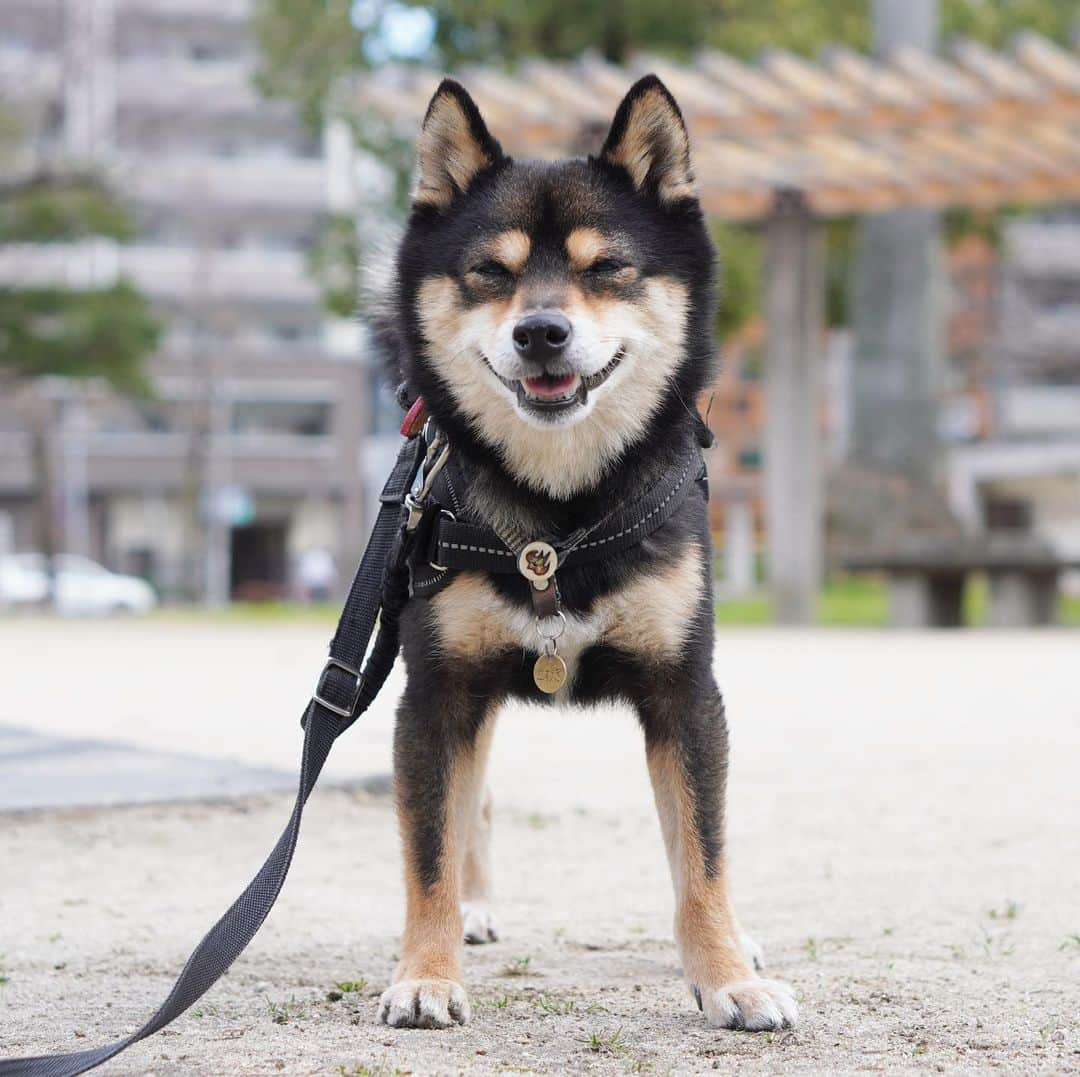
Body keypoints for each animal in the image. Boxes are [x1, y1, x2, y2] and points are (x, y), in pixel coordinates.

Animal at [367, 75, 799, 1032]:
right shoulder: (435, 694)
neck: (558, 521)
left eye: (606, 269)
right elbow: (426, 853)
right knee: (471, 806)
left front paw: (726, 976)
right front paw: (425, 971)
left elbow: (702, 853)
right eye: (491, 273)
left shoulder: (686, 691)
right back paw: (472, 909)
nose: (541, 331)